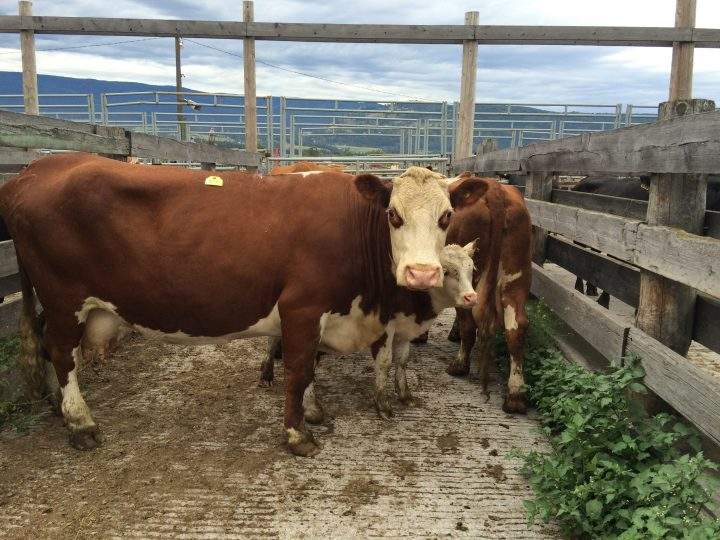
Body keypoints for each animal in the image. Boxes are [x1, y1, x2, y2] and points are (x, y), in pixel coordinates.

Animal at [260, 241, 478, 420]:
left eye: (472, 269)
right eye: (447, 271)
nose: (471, 297)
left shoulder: (404, 329)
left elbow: (402, 360)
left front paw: (405, 395)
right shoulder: (385, 328)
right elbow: (384, 363)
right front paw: (382, 405)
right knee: (274, 342)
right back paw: (268, 375)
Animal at [444, 175, 533, 414]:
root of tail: (494, 189)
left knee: (470, 320)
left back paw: (460, 364)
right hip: (516, 277)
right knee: (516, 326)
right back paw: (515, 395)